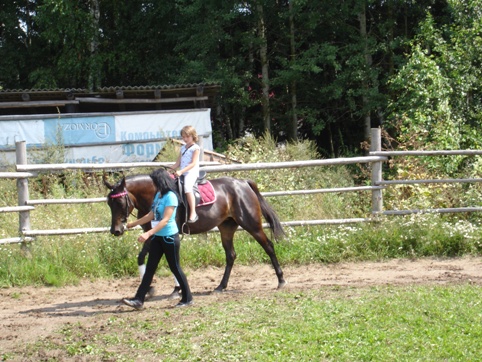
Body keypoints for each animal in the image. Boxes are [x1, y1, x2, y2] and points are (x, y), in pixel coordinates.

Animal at [104, 173, 286, 292]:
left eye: (120, 202)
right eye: (109, 203)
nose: (116, 230)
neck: (156, 195)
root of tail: (243, 183)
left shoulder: (164, 235)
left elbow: (169, 261)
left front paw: (174, 289)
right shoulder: (153, 235)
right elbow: (143, 257)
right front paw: (150, 289)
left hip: (252, 225)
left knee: (269, 247)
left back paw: (281, 280)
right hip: (226, 228)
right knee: (231, 255)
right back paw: (221, 286)